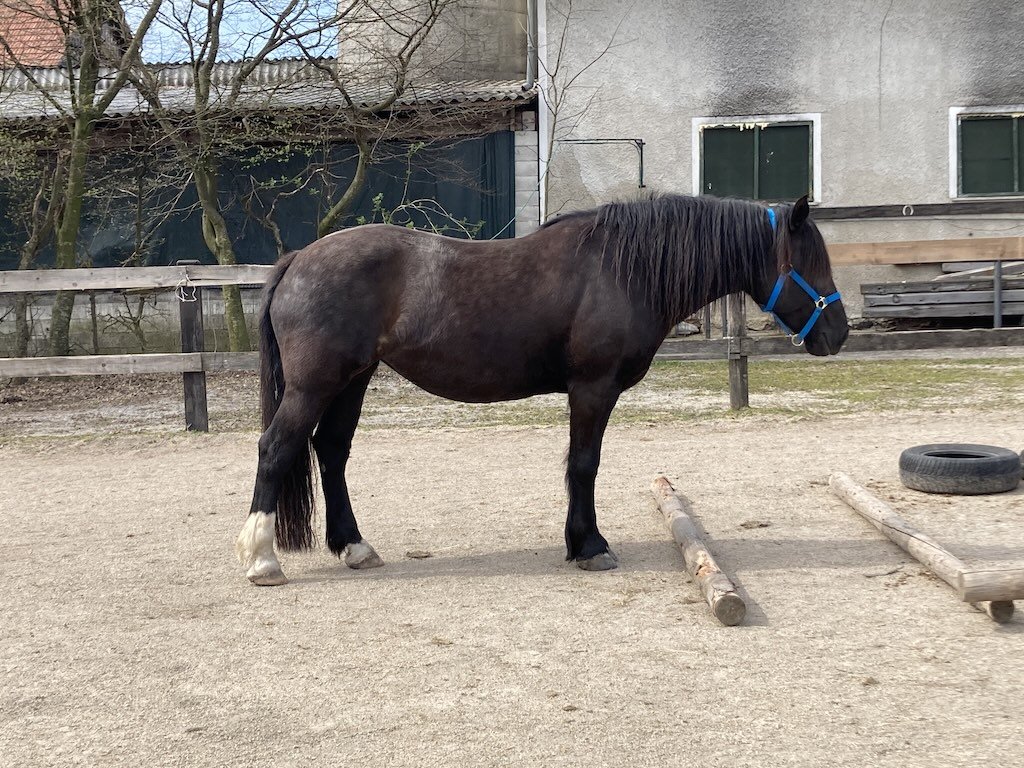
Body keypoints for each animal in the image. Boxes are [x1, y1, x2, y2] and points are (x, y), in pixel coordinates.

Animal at [235, 193, 849, 585]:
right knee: (276, 448)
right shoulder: (594, 388)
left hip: (352, 381)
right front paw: (591, 547)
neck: (622, 270)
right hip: (316, 384)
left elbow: (579, 465)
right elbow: (584, 464)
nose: (839, 334)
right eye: (811, 262)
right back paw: (263, 561)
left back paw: (355, 548)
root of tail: (298, 259)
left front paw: (580, 543)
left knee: (331, 451)